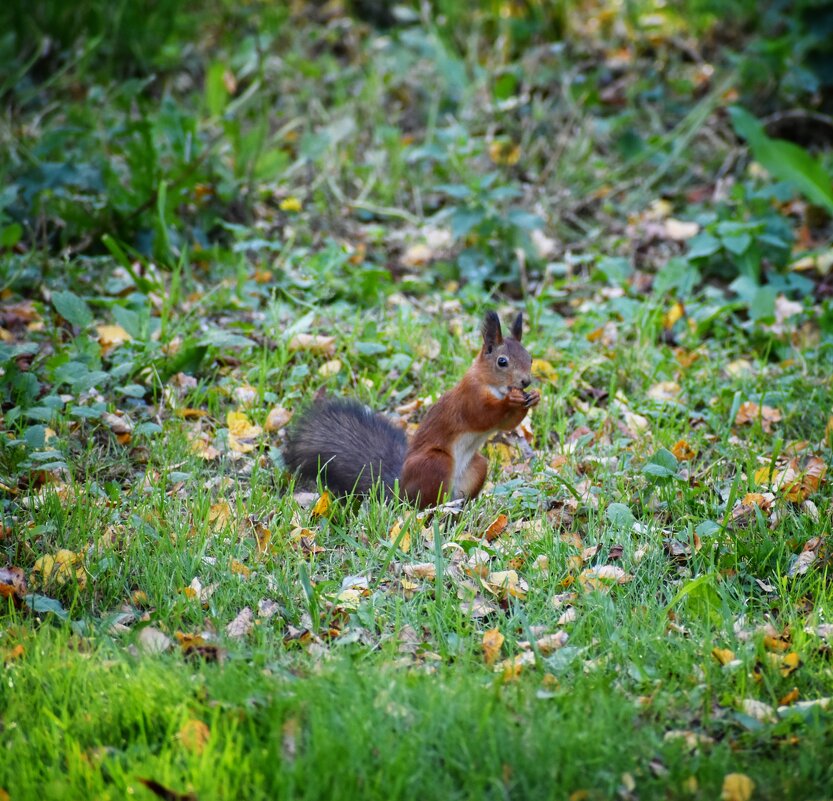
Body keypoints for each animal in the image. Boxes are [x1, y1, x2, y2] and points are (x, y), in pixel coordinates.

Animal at [280, 310, 540, 506]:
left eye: (530, 358)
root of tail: (399, 489)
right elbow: (483, 415)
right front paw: (512, 401)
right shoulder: (469, 398)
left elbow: (506, 423)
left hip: (477, 466)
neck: (490, 384)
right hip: (436, 463)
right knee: (420, 504)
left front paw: (533, 398)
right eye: (502, 362)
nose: (526, 381)